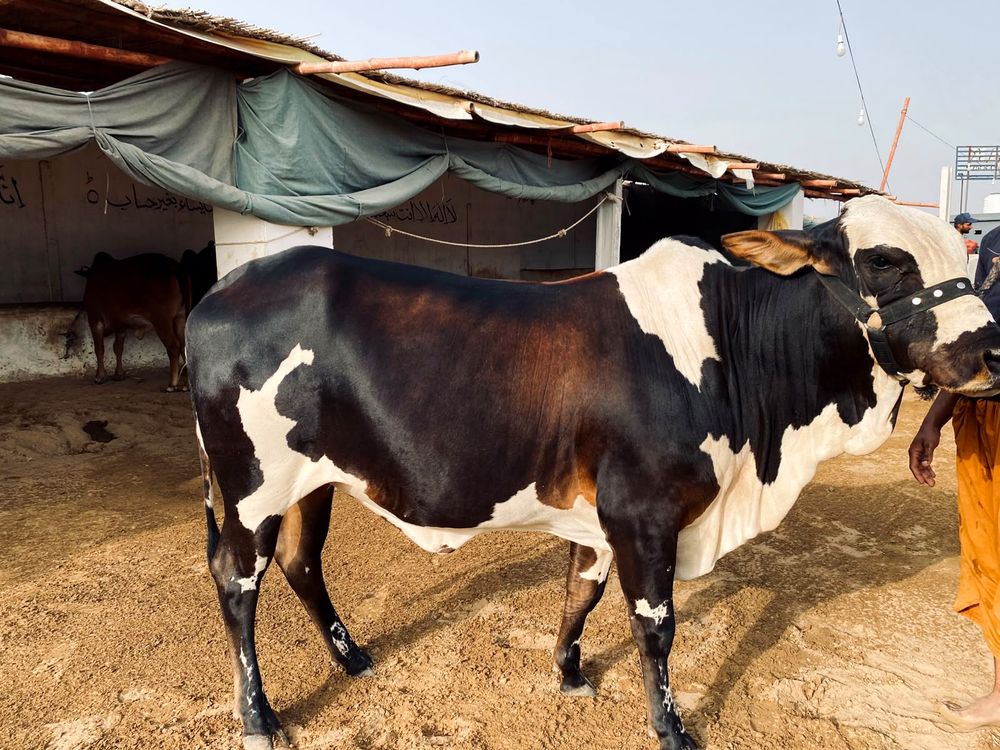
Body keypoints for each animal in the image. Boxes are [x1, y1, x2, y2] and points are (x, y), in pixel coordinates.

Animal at [76, 251, 192, 391]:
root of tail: (177, 268)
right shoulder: (121, 326)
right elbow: (118, 348)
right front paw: (119, 374)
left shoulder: (95, 320)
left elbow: (99, 349)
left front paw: (100, 376)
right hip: (181, 318)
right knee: (185, 345)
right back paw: (187, 385)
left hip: (162, 321)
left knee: (174, 347)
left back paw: (172, 384)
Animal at [185, 196, 1000, 750]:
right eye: (885, 260)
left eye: (967, 260)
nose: (992, 350)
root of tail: (220, 293)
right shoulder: (644, 511)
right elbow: (655, 627)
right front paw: (670, 728)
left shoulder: (601, 513)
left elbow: (582, 589)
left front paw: (570, 672)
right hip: (252, 485)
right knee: (237, 581)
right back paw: (258, 716)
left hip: (314, 482)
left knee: (300, 563)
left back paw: (352, 655)